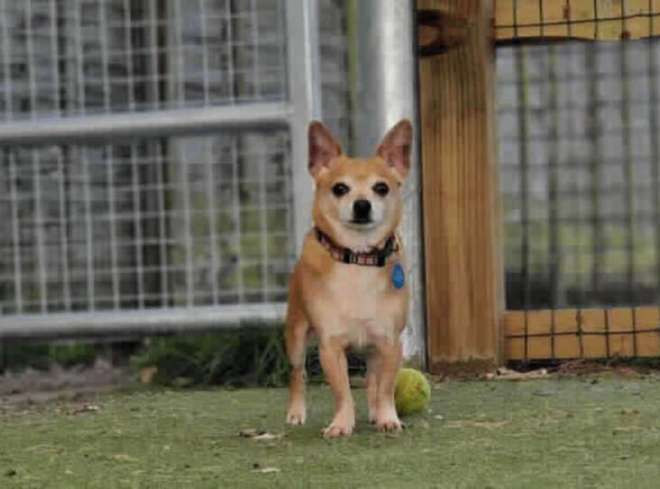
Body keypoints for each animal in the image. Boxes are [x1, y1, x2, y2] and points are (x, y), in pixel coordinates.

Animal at [284, 119, 410, 438]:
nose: (362, 204)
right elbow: (342, 392)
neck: (358, 259)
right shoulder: (331, 348)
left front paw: (387, 417)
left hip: (372, 351)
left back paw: (375, 413)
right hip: (296, 337)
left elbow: (385, 387)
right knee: (298, 374)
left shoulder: (389, 344)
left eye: (381, 188)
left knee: (372, 381)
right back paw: (296, 412)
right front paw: (341, 424)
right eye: (340, 188)